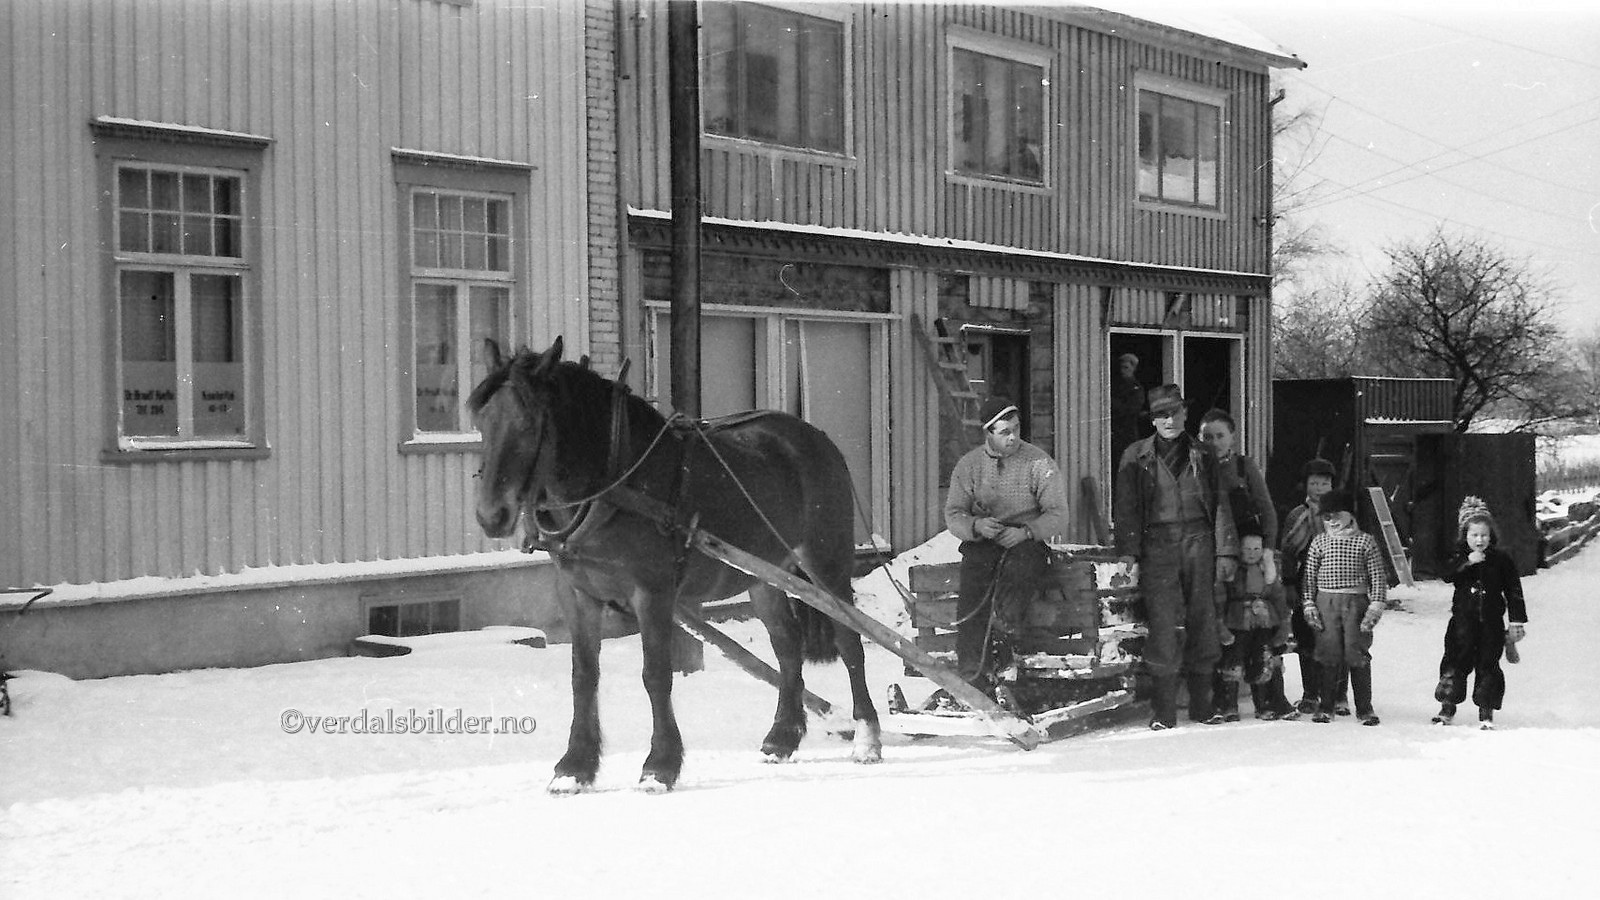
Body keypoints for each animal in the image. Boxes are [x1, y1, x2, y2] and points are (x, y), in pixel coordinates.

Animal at [468, 336, 882, 793]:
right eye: (481, 420)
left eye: (529, 424)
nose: (491, 516)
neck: (615, 486)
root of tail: (817, 438)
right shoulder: (578, 594)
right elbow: (584, 675)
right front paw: (575, 766)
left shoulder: (652, 592)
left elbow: (655, 673)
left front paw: (659, 765)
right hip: (763, 574)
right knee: (787, 646)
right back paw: (781, 738)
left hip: (826, 564)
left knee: (850, 642)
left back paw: (866, 738)